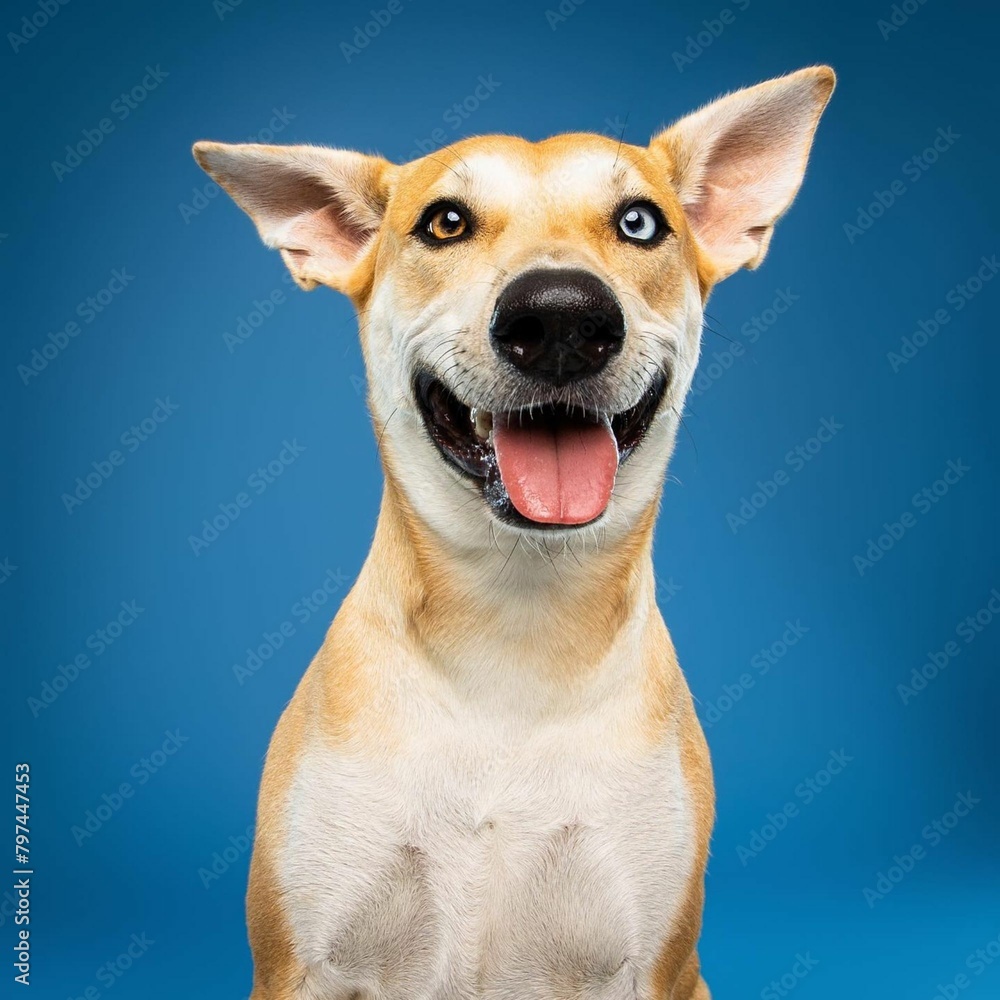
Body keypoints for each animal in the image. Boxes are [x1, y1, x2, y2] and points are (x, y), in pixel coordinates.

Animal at [195, 64, 836, 1000]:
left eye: (639, 221)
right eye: (445, 222)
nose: (562, 318)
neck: (515, 620)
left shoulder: (657, 964)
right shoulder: (298, 964)